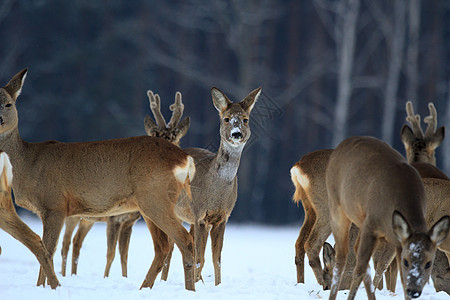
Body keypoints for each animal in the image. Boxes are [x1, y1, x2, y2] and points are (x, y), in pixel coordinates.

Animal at [59, 90, 190, 278]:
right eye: (154, 136)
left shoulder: (130, 221)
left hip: (87, 219)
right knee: (65, 244)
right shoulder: (114, 219)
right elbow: (111, 253)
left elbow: (124, 254)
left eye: (175, 137)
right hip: (73, 216)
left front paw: (124, 277)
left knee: (76, 242)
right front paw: (106, 277)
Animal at [326, 137, 448, 300]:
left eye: (429, 263)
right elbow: (365, 269)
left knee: (356, 251)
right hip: (337, 208)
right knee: (343, 257)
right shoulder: (372, 227)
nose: (414, 291)